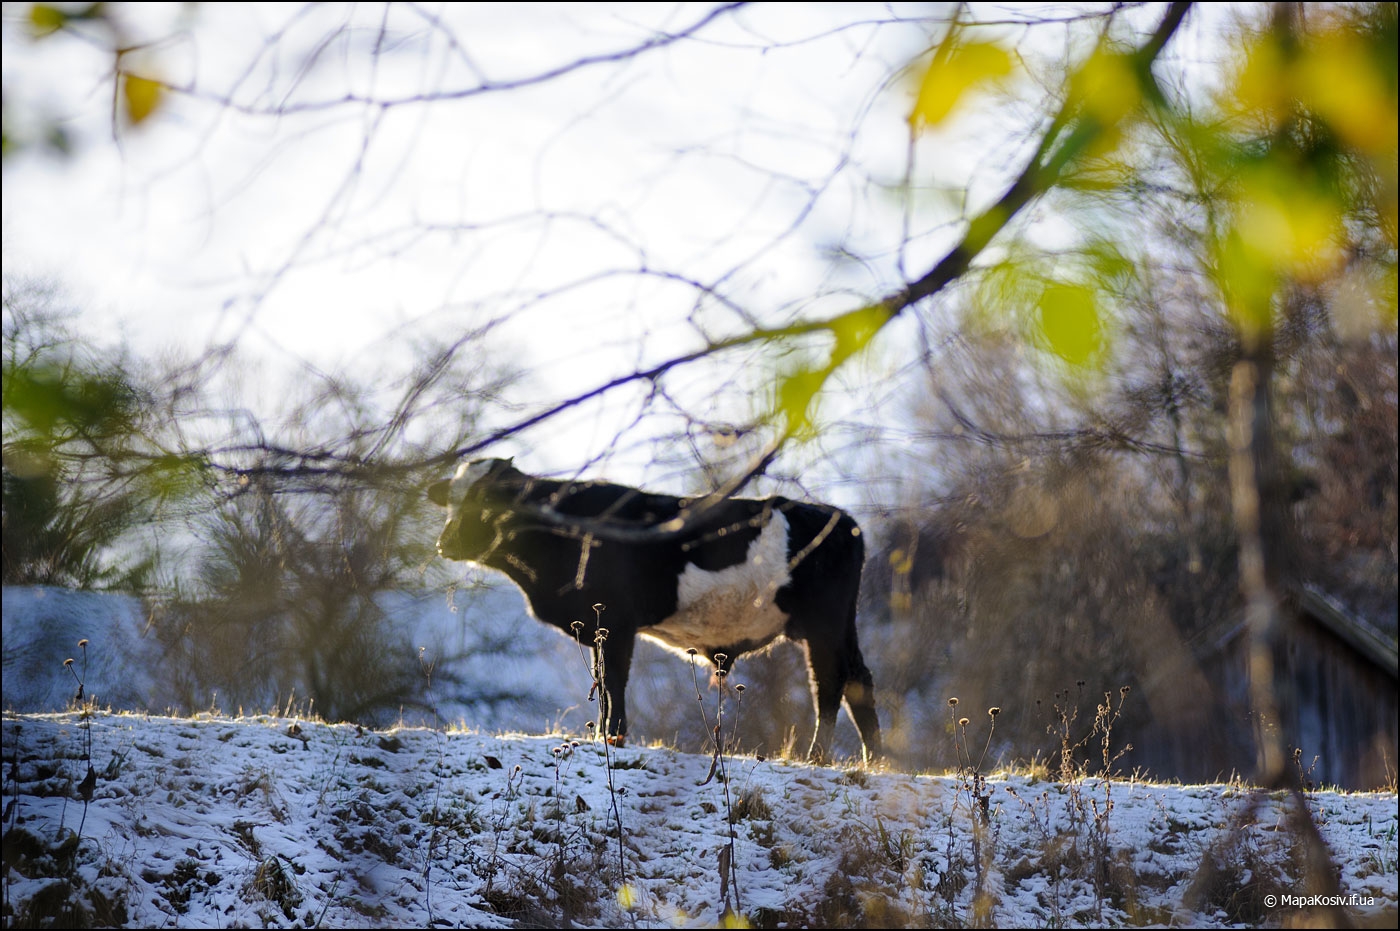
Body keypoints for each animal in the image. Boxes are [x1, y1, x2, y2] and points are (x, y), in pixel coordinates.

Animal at [428, 457, 882, 763]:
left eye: (486, 501)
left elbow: (613, 681)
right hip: (839, 626)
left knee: (829, 682)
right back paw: (874, 759)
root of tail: (840, 517)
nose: (444, 543)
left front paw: (614, 737)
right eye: (452, 501)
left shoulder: (616, 622)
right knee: (858, 678)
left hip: (823, 625)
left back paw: (817, 756)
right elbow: (602, 681)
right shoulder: (598, 628)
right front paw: (603, 735)